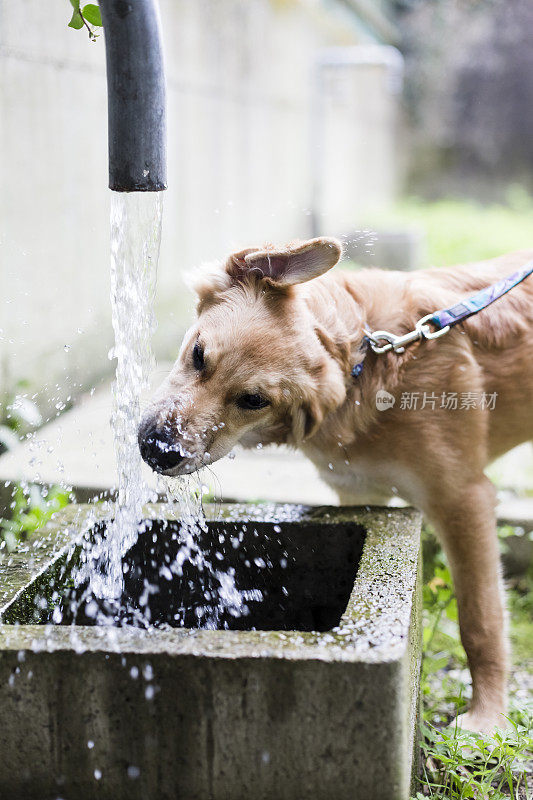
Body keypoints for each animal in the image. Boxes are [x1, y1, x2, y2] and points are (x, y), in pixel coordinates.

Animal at [138, 236, 532, 732]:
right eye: (198, 355)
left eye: (253, 400)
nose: (157, 449)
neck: (370, 366)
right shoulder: (360, 491)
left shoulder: (463, 497)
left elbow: (480, 619)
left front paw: (487, 718)